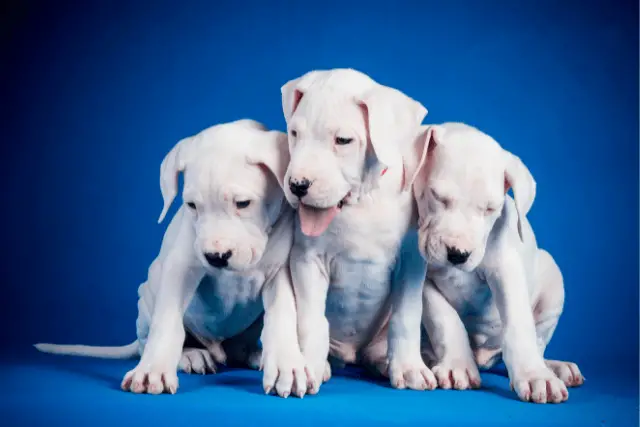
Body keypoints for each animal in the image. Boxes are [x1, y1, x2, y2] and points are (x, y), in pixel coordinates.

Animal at [36, 119, 306, 398]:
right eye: (192, 205)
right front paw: (152, 371)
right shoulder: (181, 268)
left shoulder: (279, 273)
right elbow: (167, 321)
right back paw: (191, 355)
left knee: (237, 350)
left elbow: (282, 315)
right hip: (147, 296)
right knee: (148, 341)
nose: (215, 257)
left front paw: (286, 365)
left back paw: (254, 354)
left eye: (243, 203)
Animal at [282, 67, 440, 398]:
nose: (297, 186)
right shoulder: (307, 261)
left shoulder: (410, 264)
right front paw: (310, 367)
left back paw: (385, 361)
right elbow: (312, 320)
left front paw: (409, 367)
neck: (360, 204)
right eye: (295, 134)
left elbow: (407, 317)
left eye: (343, 140)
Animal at [410, 123, 584, 404]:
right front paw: (458, 364)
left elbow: (518, 323)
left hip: (552, 278)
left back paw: (553, 367)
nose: (458, 254)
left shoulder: (507, 271)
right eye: (437, 196)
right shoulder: (424, 275)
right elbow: (445, 319)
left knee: (537, 343)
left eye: (490, 209)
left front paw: (535, 375)